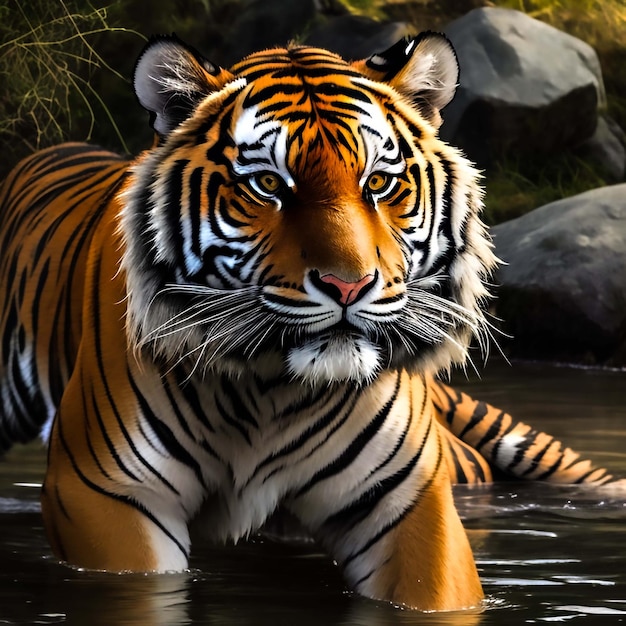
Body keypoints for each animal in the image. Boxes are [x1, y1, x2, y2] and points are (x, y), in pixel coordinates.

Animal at [0, 31, 620, 608]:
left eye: (378, 183)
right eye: (268, 184)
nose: (348, 285)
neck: (271, 389)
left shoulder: (409, 500)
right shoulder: (108, 494)